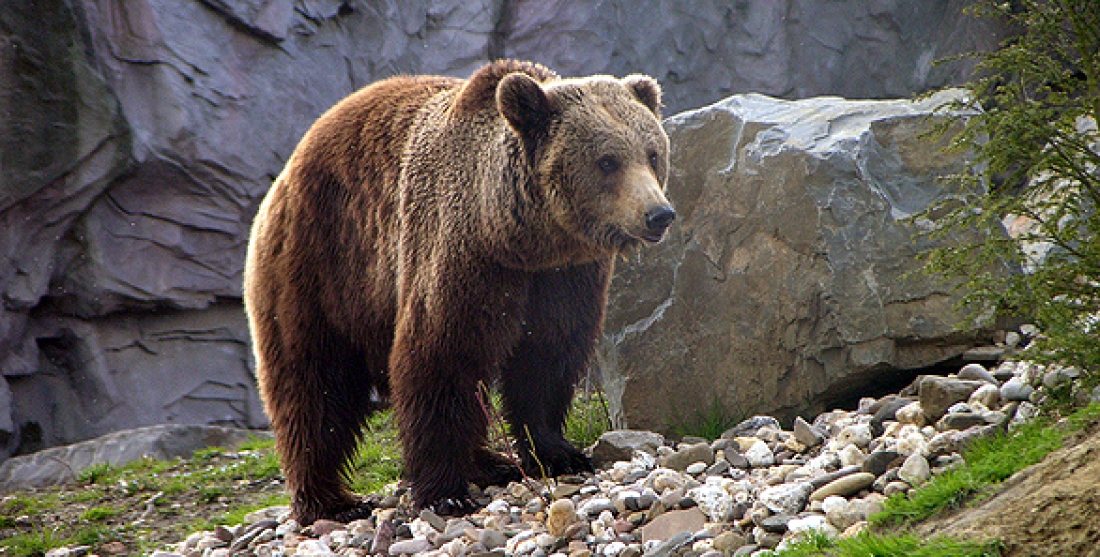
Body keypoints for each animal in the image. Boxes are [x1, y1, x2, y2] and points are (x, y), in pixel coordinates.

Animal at [245, 58, 673, 523]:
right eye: (607, 161)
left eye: (652, 153)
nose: (658, 214)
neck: (521, 238)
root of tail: (285, 175)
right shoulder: (462, 254)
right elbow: (441, 356)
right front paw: (445, 491)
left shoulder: (564, 275)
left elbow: (548, 355)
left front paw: (558, 452)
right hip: (321, 267)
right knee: (313, 383)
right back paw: (330, 500)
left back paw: (491, 462)